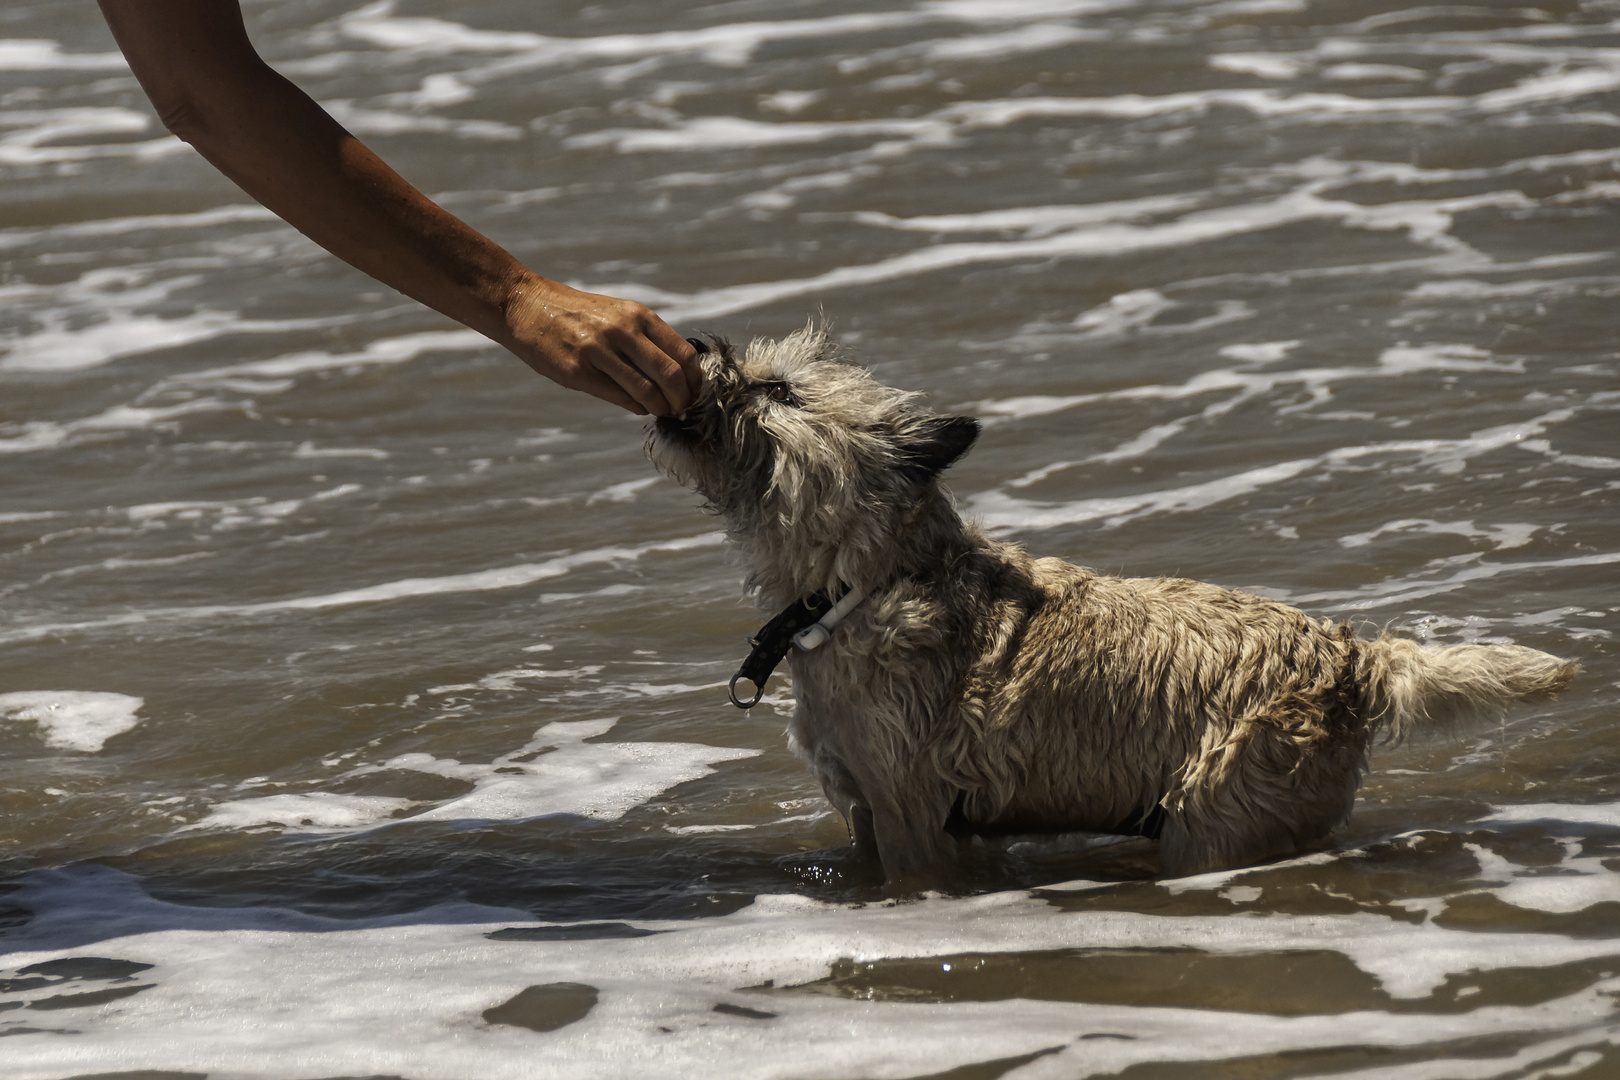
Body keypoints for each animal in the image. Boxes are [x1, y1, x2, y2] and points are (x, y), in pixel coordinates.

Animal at [644, 325, 1581, 880]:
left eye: (779, 392)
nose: (694, 344)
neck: (863, 580)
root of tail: (1354, 656)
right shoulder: (869, 814)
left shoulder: (913, 814)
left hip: (1217, 814)